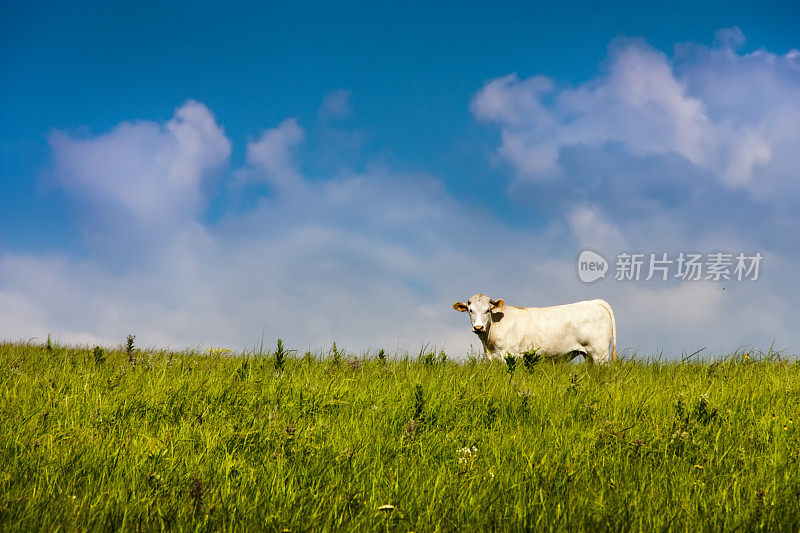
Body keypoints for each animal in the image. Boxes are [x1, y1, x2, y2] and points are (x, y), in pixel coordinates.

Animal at [450, 294, 620, 364]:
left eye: (487, 310)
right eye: (470, 310)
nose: (478, 327)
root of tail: (595, 302)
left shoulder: (508, 354)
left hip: (599, 352)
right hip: (589, 354)